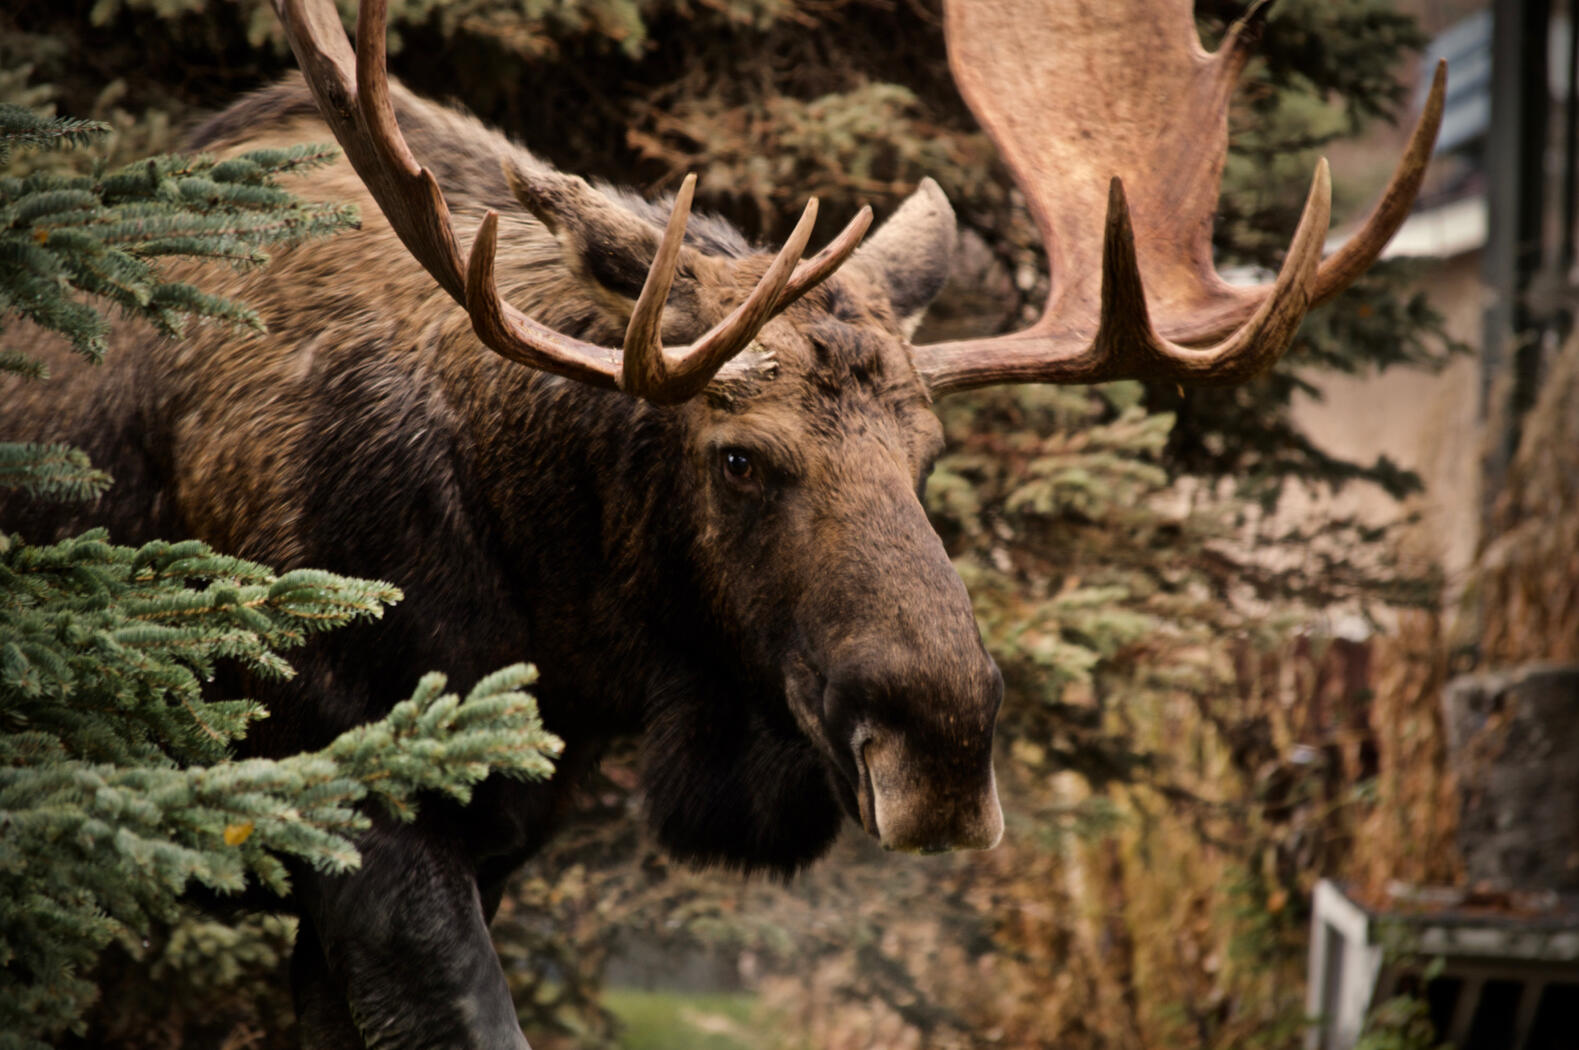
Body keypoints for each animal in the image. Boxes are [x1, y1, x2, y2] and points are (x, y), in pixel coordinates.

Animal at [1, 0, 1444, 1046]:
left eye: (928, 457)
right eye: (740, 458)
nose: (942, 747)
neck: (548, 601)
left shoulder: (488, 827)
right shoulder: (350, 786)